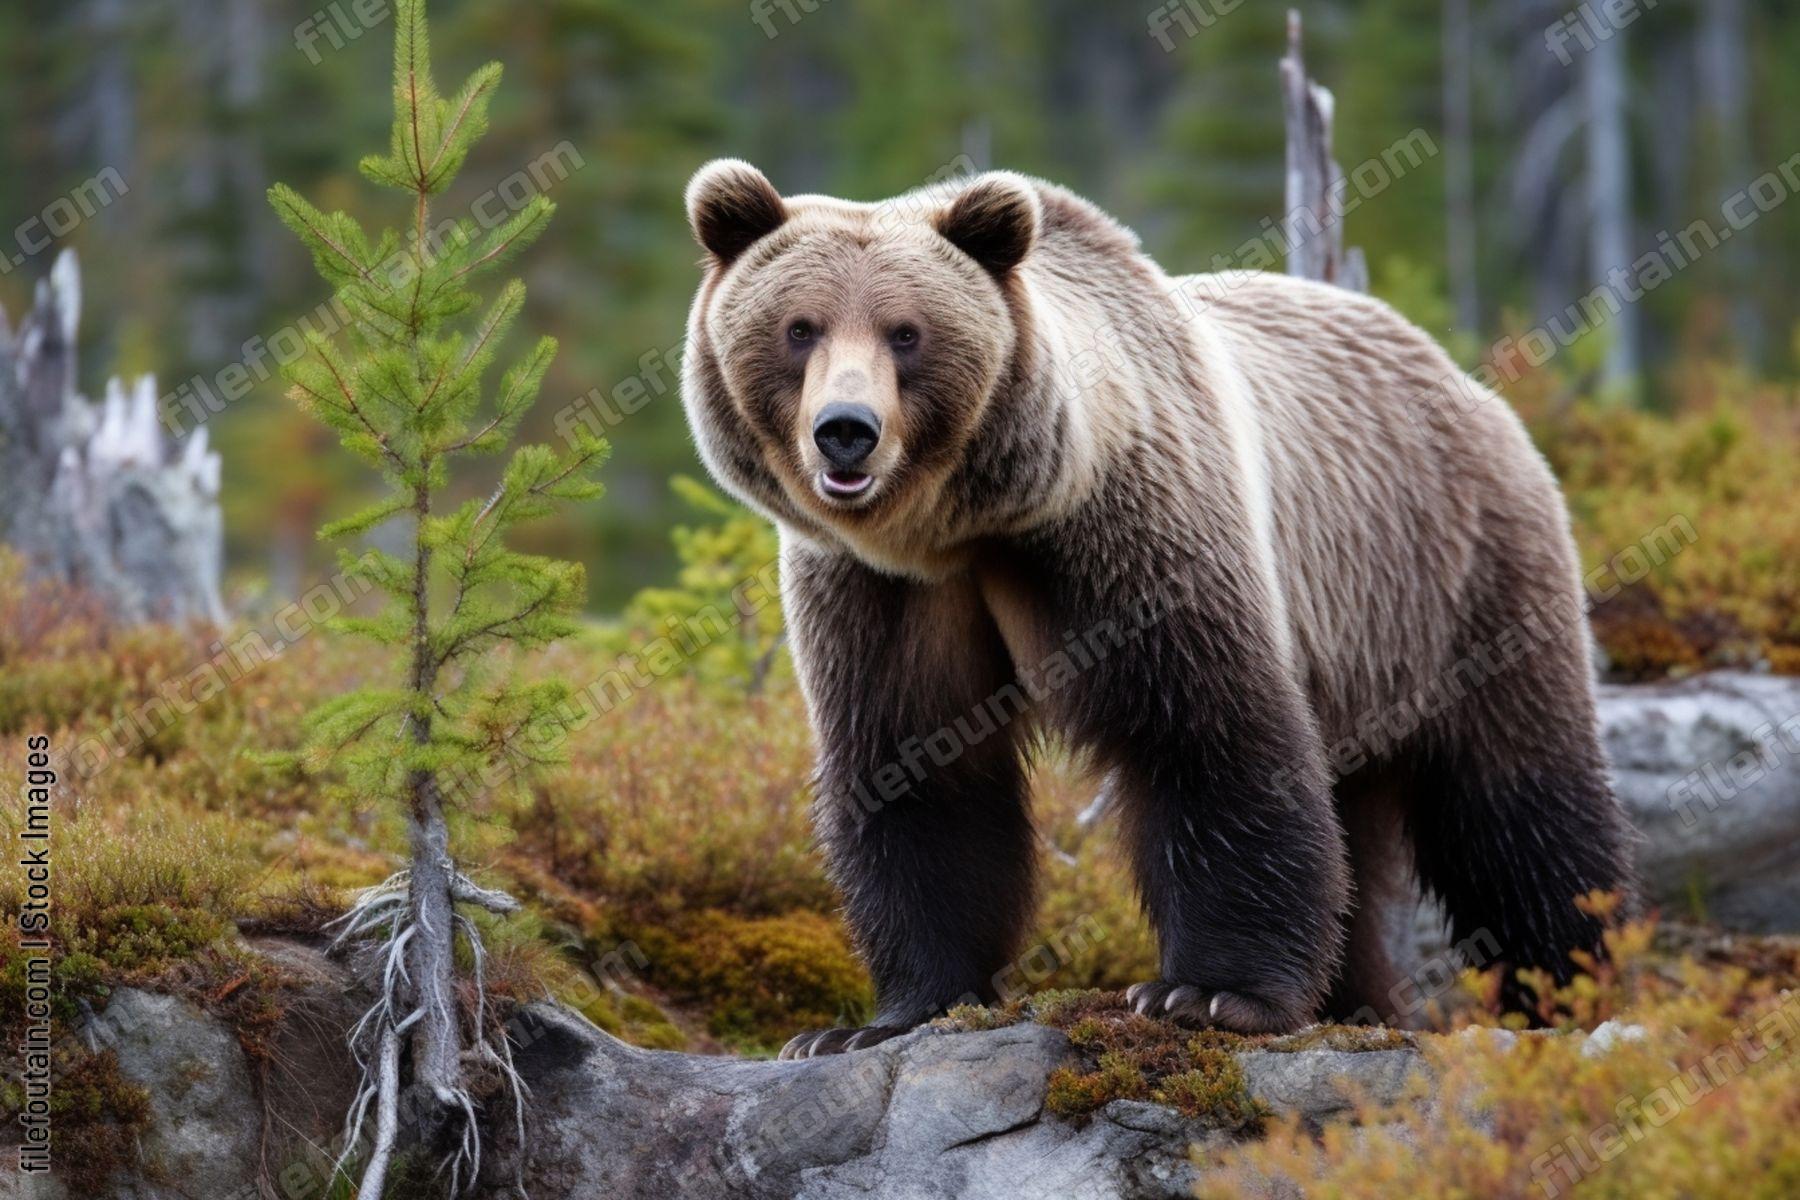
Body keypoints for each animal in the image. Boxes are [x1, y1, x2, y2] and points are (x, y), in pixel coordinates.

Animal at [678, 159, 1636, 1058]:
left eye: (906, 333)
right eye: (799, 328)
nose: (846, 429)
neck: (968, 525)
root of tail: (1467, 381)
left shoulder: (1132, 530)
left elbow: (1206, 733)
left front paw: (1206, 993)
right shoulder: (884, 595)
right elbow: (914, 769)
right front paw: (878, 1019)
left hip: (1452, 579)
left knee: (1517, 805)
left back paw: (1573, 991)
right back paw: (1357, 1001)